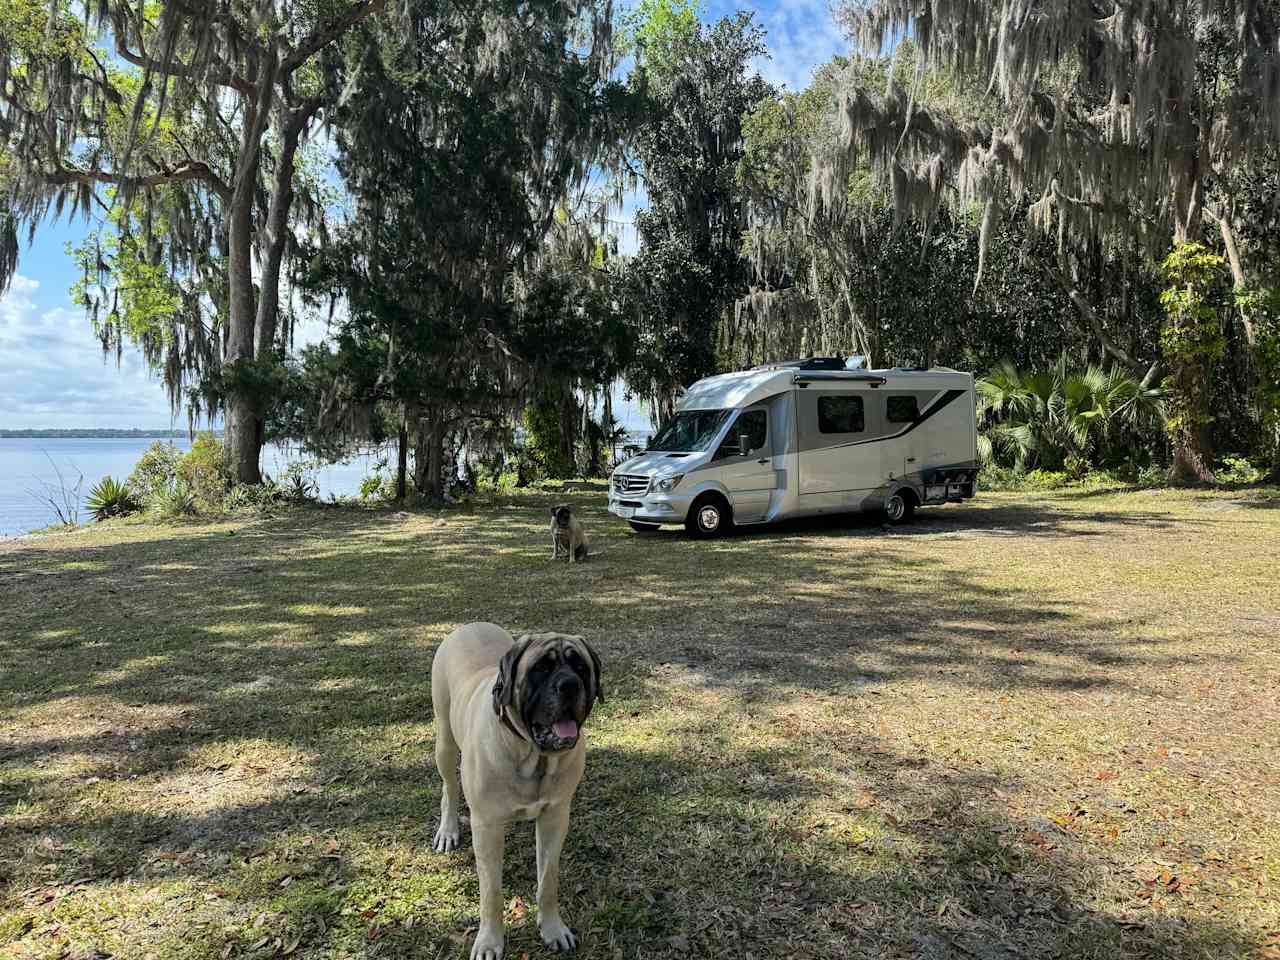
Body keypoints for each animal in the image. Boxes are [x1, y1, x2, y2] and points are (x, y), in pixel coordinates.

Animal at [430, 624, 604, 960]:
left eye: (580, 667)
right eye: (541, 668)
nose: (569, 685)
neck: (532, 755)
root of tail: (470, 625)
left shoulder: (555, 818)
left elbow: (548, 880)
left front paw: (552, 929)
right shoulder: (486, 827)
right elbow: (491, 893)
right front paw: (489, 941)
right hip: (444, 739)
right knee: (449, 787)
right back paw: (448, 830)